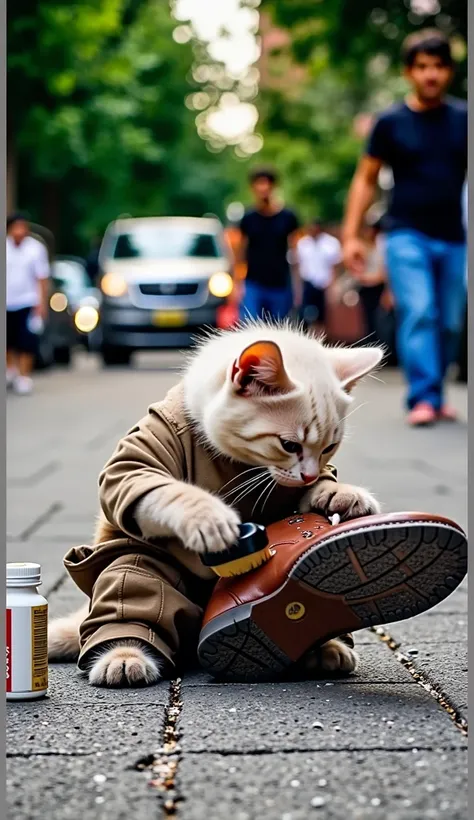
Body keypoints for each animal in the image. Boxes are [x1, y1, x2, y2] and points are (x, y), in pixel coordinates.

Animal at [48, 322, 384, 684]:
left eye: (329, 448)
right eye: (289, 445)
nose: (307, 475)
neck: (240, 461)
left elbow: (319, 485)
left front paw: (339, 493)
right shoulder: (136, 464)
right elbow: (161, 489)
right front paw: (210, 517)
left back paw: (322, 646)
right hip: (135, 567)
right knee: (133, 587)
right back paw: (124, 655)